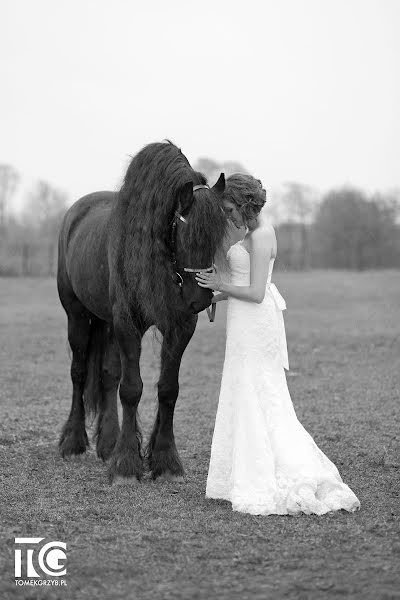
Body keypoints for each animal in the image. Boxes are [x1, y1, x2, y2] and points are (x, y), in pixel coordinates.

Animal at [56, 141, 227, 482]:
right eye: (185, 234)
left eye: (217, 236)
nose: (199, 299)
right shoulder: (127, 323)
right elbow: (132, 389)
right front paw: (126, 464)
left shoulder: (179, 326)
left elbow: (168, 389)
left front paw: (165, 460)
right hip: (77, 316)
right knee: (79, 372)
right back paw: (73, 442)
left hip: (106, 324)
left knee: (108, 375)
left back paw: (108, 443)